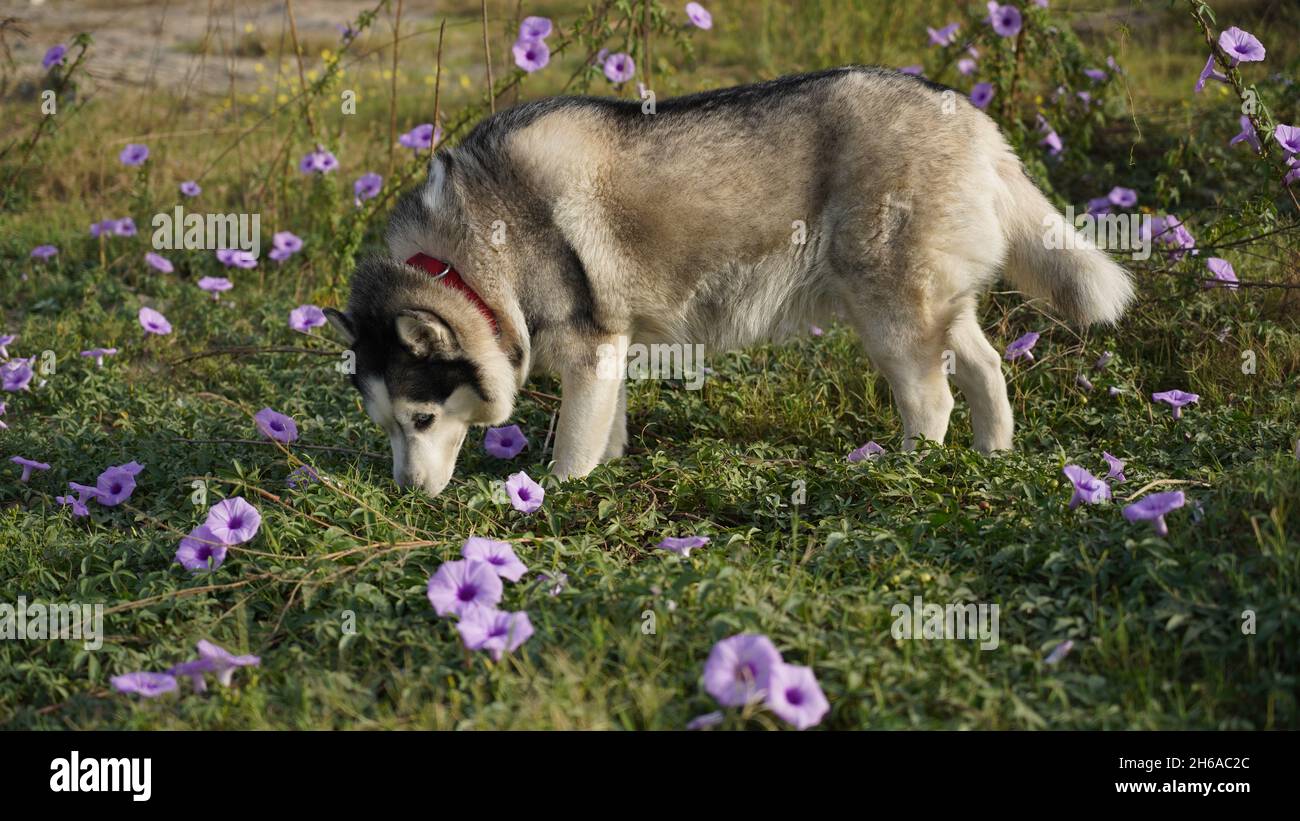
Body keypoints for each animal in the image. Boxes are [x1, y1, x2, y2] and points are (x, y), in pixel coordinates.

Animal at [322, 64, 1128, 496]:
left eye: (424, 420)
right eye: (387, 426)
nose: (407, 495)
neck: (468, 257)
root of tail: (971, 117)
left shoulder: (589, 346)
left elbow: (572, 451)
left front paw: (556, 499)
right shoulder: (609, 351)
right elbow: (605, 427)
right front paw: (610, 473)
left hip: (889, 315)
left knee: (932, 399)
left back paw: (903, 471)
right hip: (933, 305)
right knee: (986, 367)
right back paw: (994, 456)